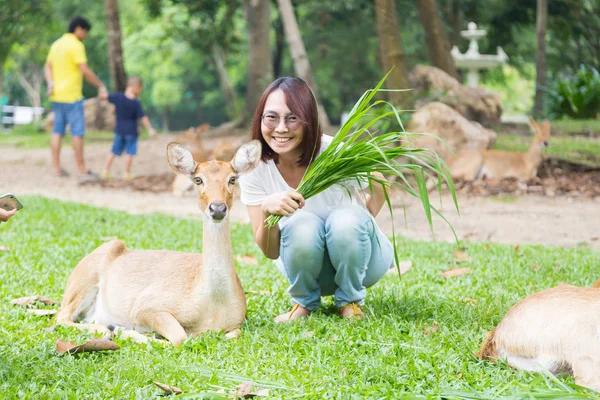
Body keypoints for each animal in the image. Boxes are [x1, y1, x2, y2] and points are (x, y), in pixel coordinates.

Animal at [56, 139, 262, 346]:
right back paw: (108, 330)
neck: (212, 307)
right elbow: (180, 337)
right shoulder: (145, 306)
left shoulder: (238, 322)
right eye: (198, 179)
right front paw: (124, 330)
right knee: (61, 316)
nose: (218, 208)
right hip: (83, 280)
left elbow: (232, 335)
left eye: (232, 179)